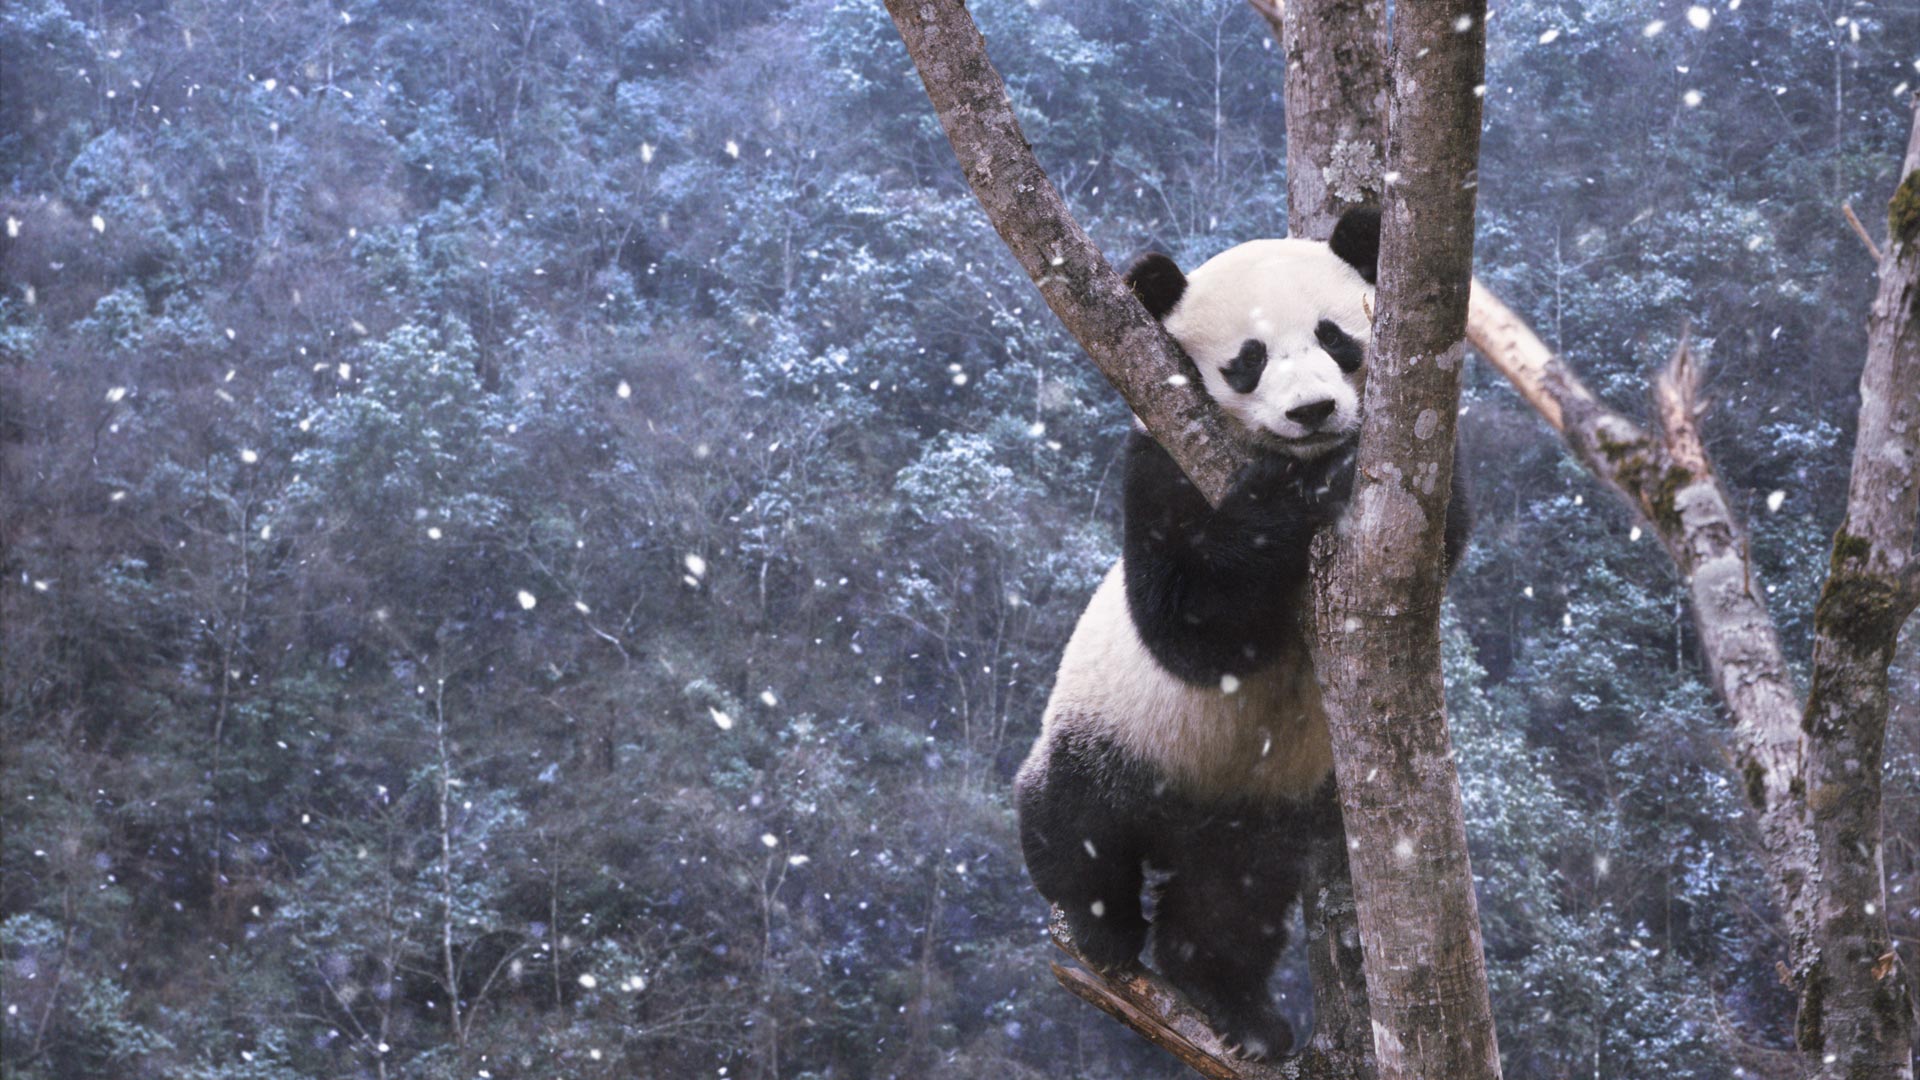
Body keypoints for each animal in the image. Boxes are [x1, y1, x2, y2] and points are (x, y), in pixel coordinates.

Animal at [1021, 205, 1466, 1053]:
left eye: (1335, 337)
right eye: (1247, 362)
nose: (1313, 412)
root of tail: (1181, 817)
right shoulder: (1159, 463)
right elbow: (1190, 624)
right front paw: (1294, 491)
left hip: (1252, 810)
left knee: (1231, 901)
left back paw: (1237, 1012)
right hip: (1110, 724)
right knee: (1074, 819)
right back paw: (1103, 930)